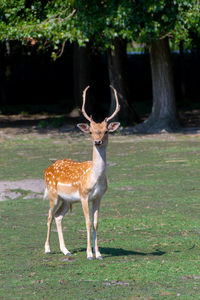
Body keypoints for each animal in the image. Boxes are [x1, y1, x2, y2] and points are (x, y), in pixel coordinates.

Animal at [44, 85, 120, 258]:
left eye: (106, 131)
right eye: (91, 131)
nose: (97, 141)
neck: (95, 179)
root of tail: (47, 168)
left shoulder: (98, 197)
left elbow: (96, 222)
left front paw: (98, 253)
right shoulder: (84, 195)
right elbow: (87, 221)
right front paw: (89, 254)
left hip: (66, 200)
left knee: (58, 216)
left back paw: (66, 250)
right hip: (53, 194)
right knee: (49, 216)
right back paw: (47, 248)